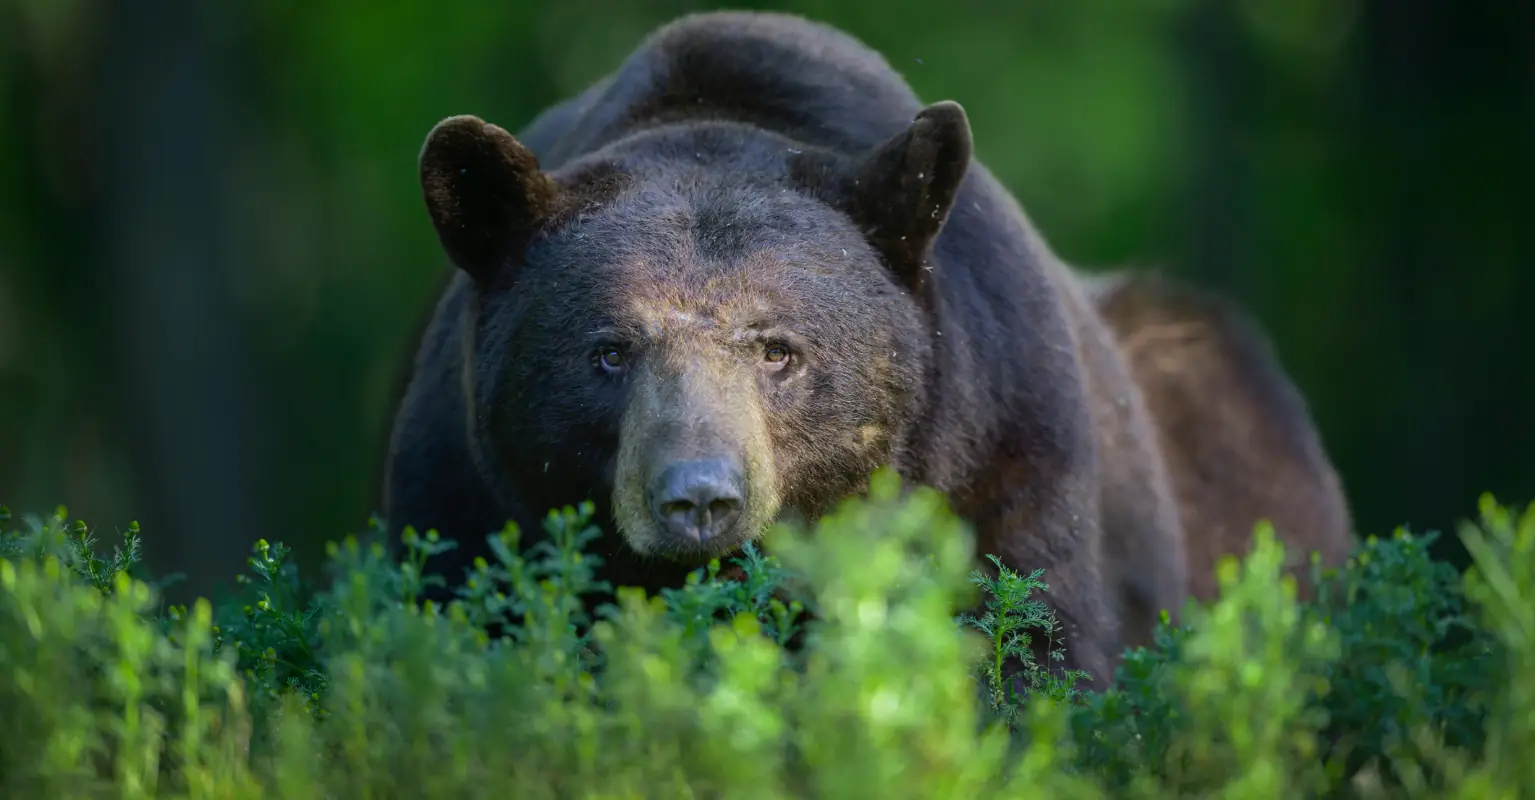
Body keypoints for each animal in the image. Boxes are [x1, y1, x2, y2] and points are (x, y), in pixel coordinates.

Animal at [379, 10, 1354, 689]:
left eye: (777, 350)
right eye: (610, 351)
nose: (698, 499)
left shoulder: (1007, 447)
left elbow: (1029, 643)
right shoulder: (461, 489)